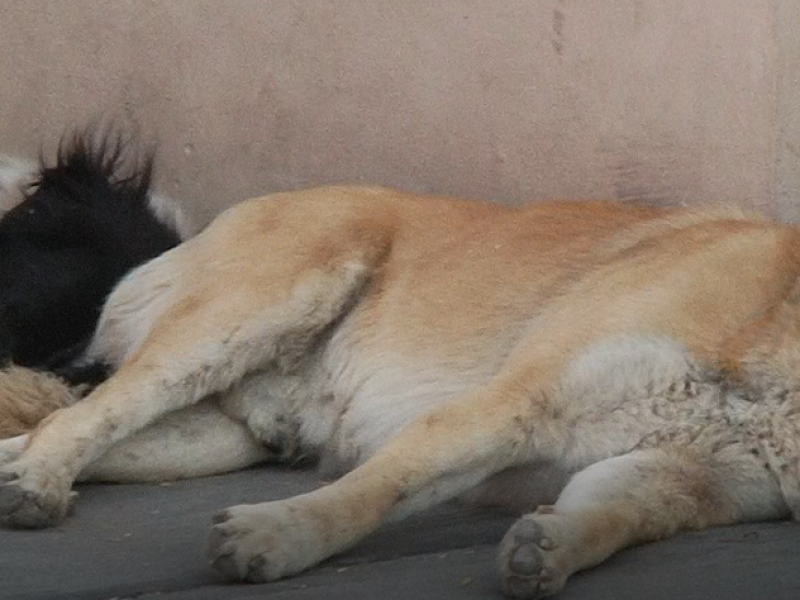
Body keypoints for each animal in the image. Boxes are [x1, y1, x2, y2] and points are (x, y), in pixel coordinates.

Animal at [1, 185, 800, 596]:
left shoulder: (678, 480)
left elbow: (610, 518)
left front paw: (551, 547)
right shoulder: (511, 405)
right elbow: (374, 490)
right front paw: (280, 535)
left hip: (210, 439)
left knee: (64, 431)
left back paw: (21, 470)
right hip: (237, 321)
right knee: (81, 420)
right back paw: (37, 485)